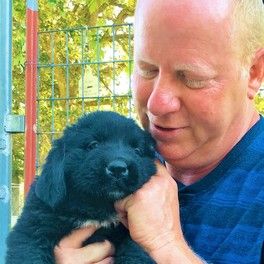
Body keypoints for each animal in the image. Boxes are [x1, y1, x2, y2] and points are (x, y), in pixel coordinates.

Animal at [5, 111, 157, 264]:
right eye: (93, 145)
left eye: (137, 150)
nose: (118, 169)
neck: (96, 208)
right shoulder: (33, 229)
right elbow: (30, 254)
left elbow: (134, 251)